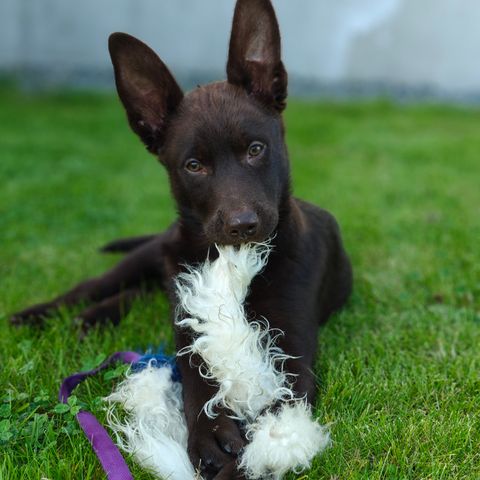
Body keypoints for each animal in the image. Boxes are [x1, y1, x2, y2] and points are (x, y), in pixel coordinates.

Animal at [12, 1, 352, 478]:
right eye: (194, 166)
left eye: (256, 149)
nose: (243, 225)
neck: (232, 263)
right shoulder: (192, 321)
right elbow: (196, 378)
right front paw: (209, 433)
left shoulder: (292, 350)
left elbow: (278, 412)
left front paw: (249, 459)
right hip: (154, 256)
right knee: (99, 285)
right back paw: (51, 315)